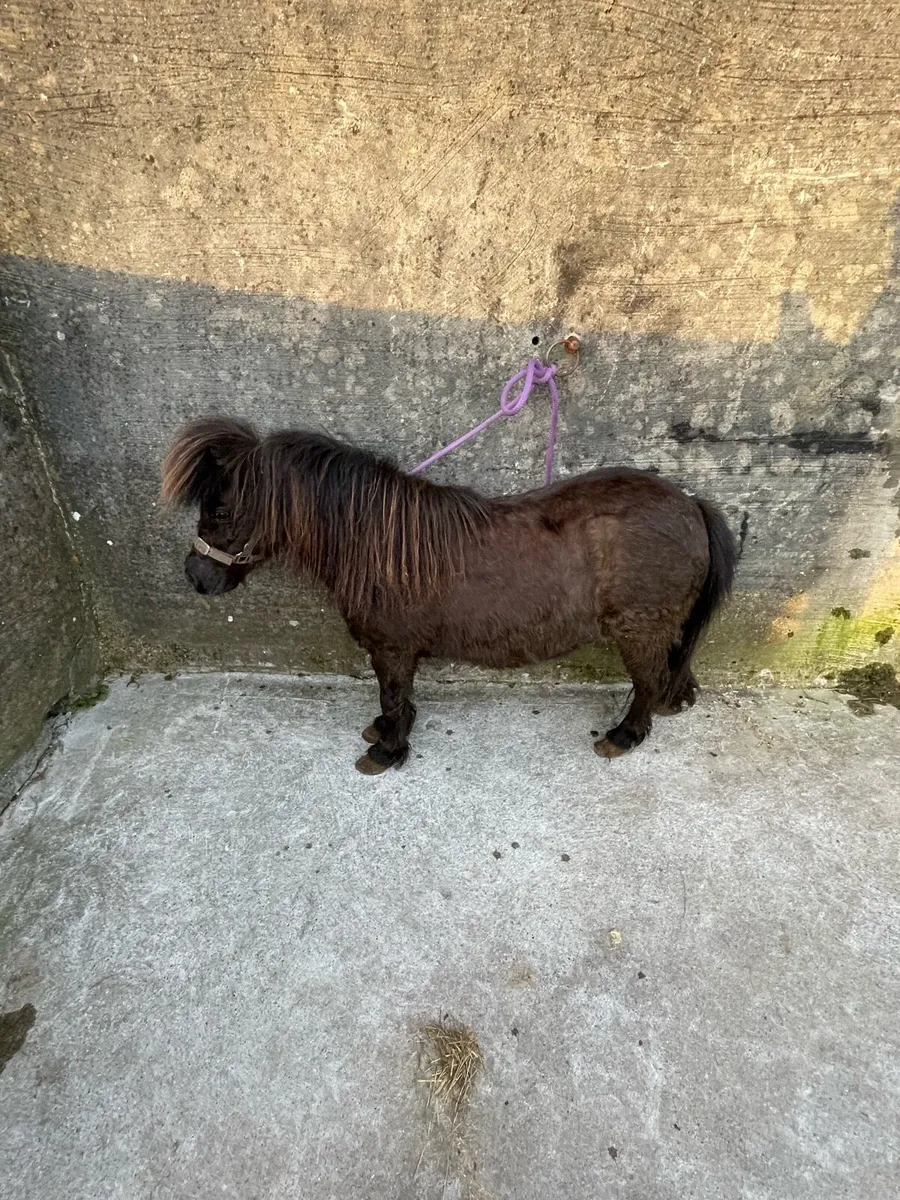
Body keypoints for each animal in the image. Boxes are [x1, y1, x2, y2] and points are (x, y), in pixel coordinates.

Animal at [161, 417, 737, 774]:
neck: (377, 542)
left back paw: (624, 735)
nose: (195, 576)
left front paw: (389, 749)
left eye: (220, 509)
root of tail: (691, 503)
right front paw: (388, 731)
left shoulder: (392, 649)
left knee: (647, 682)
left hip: (639, 631)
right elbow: (397, 697)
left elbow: (392, 694)